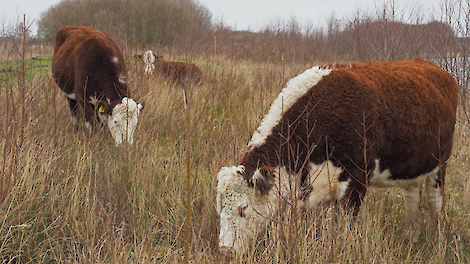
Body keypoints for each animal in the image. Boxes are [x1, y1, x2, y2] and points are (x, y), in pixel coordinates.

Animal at [218, 58, 458, 255]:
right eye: (219, 208)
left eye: (243, 209)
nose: (225, 250)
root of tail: (435, 68)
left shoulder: (356, 182)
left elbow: (346, 229)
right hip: (411, 167)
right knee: (411, 196)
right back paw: (411, 238)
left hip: (440, 164)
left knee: (434, 201)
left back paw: (436, 241)